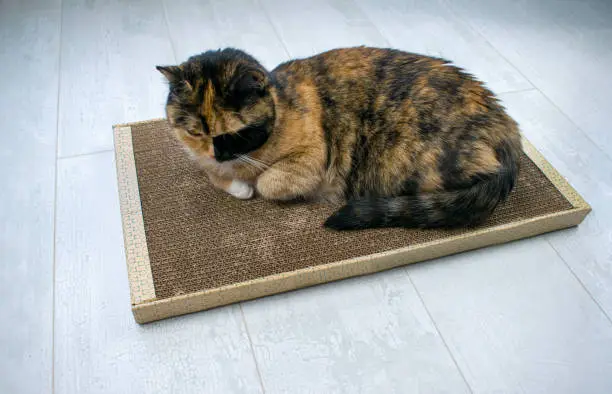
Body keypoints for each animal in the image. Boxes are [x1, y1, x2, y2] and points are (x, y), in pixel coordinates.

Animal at [157, 47, 520, 229]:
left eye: (234, 134)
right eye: (194, 132)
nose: (216, 154)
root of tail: (505, 123)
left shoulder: (312, 155)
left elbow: (270, 182)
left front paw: (254, 185)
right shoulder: (200, 159)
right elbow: (213, 175)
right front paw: (235, 184)